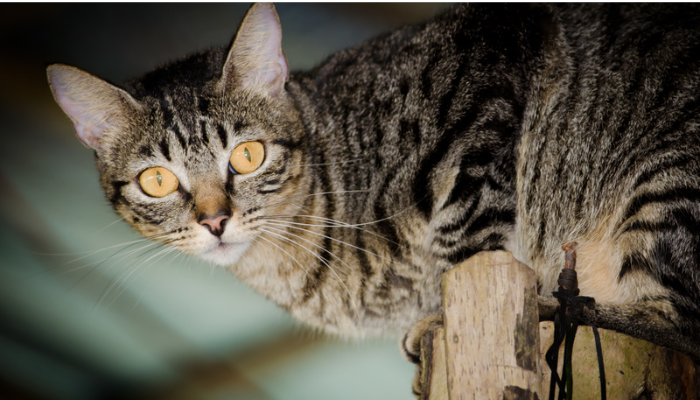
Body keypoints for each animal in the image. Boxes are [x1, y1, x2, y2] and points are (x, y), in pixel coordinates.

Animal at [47, 0, 700, 392]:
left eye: (248, 155)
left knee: (672, 320)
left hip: (667, 186)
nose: (215, 220)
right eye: (156, 180)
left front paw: (439, 314)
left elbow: (469, 236)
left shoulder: (482, 79)